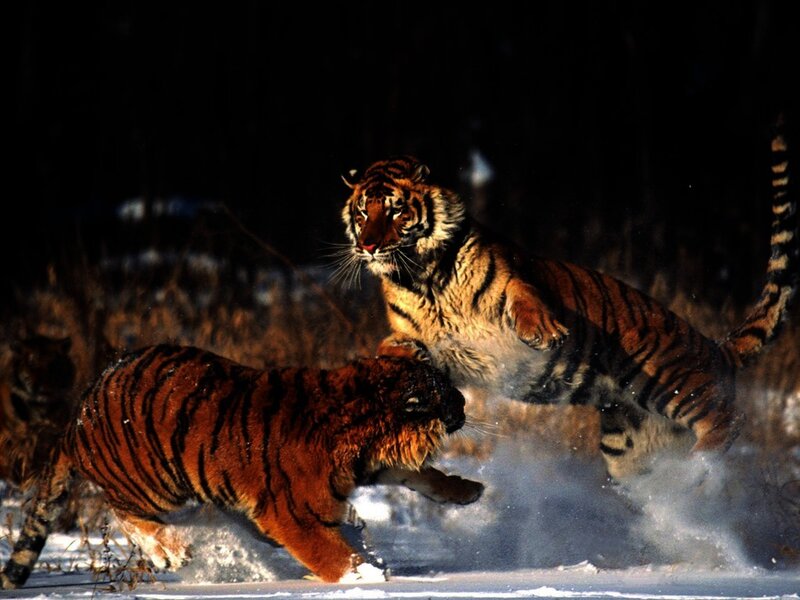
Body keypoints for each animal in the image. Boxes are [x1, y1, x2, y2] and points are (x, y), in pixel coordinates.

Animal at [0, 335, 76, 487]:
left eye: (54, 364)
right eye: (32, 363)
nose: (44, 388)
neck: (41, 408)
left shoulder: (53, 435)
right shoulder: (20, 439)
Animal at [340, 123, 797, 482]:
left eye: (396, 211)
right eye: (362, 213)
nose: (369, 246)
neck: (421, 277)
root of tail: (718, 347)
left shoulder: (514, 278)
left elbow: (525, 299)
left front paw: (545, 333)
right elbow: (392, 347)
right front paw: (397, 362)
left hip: (670, 379)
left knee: (727, 420)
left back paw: (700, 468)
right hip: (628, 449)